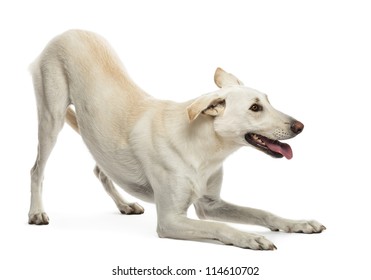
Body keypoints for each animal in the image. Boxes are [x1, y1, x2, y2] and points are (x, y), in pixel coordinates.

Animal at [29, 30, 326, 249]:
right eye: (255, 108)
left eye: (268, 100)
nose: (300, 126)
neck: (205, 148)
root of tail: (69, 31)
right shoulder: (171, 220)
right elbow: (220, 226)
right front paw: (249, 237)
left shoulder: (211, 204)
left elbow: (261, 212)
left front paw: (297, 223)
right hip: (51, 117)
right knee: (37, 169)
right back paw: (36, 213)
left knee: (101, 171)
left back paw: (124, 204)